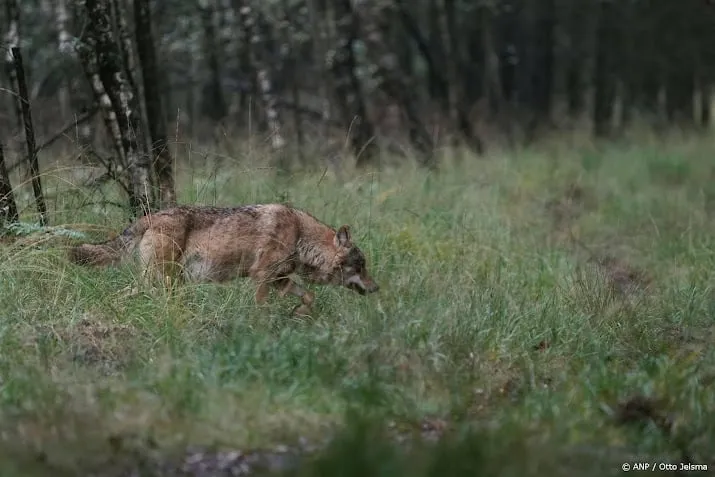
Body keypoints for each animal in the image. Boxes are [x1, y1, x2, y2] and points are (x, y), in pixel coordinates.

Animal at [68, 203, 380, 314]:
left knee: (119, 295)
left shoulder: (279, 279)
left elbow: (309, 296)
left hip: (161, 282)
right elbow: (261, 308)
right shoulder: (261, 278)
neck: (299, 236)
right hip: (164, 282)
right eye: (361, 265)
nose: (377, 288)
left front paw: (301, 314)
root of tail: (149, 216)